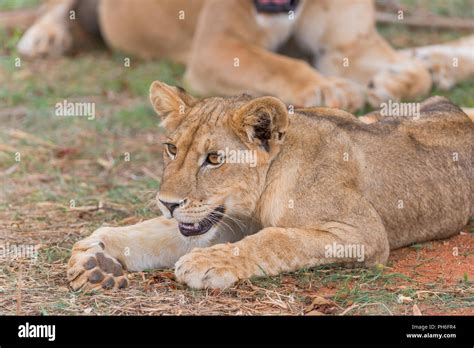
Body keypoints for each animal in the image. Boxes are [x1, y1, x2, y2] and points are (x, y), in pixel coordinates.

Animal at [66, 80, 474, 290]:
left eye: (214, 159)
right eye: (171, 149)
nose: (168, 203)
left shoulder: (363, 231)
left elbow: (277, 239)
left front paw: (206, 263)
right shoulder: (221, 221)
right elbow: (152, 233)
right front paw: (93, 255)